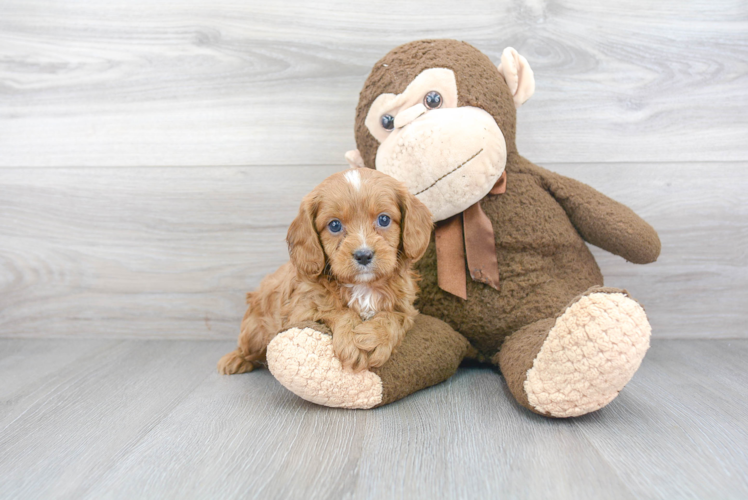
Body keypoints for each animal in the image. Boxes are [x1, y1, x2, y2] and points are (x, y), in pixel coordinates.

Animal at [216, 169, 432, 376]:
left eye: (384, 219)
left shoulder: (406, 308)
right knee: (248, 349)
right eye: (334, 225)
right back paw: (234, 360)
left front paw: (374, 338)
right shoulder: (303, 309)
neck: (362, 286)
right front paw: (352, 340)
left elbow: (394, 317)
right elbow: (335, 310)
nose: (363, 255)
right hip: (254, 331)